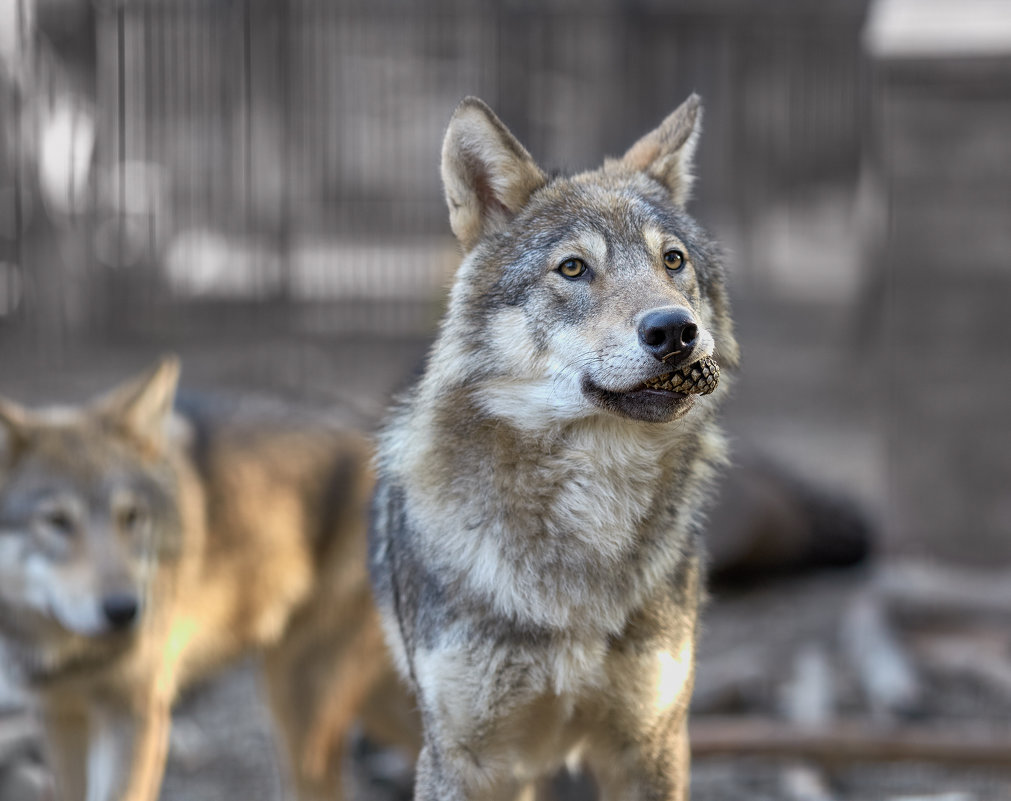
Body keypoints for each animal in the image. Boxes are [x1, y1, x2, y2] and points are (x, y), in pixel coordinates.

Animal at [0, 358, 414, 801]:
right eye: (56, 521)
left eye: (131, 517)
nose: (124, 610)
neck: (63, 647)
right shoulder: (63, 714)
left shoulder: (136, 715)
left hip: (300, 704)